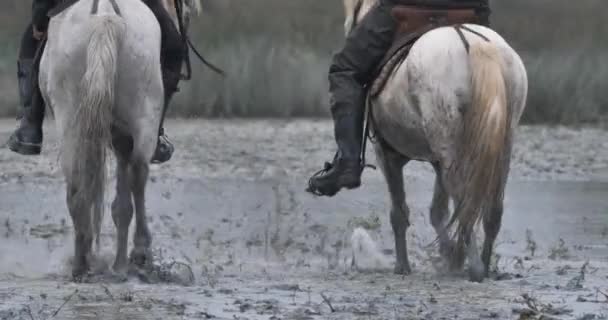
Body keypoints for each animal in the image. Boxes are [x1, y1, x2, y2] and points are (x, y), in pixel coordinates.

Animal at [39, 0, 201, 280]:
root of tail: (105, 19)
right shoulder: (125, 139)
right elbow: (124, 202)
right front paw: (123, 262)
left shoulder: (119, 139)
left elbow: (119, 206)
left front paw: (117, 263)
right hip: (143, 114)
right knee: (138, 174)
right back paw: (140, 252)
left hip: (71, 119)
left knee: (77, 184)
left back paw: (82, 263)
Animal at [344, 0, 528, 282]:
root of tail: (474, 43)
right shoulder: (438, 161)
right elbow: (437, 211)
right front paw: (450, 256)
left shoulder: (386, 154)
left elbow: (399, 212)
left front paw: (404, 266)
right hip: (499, 145)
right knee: (492, 207)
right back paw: (483, 265)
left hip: (447, 143)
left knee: (465, 202)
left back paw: (474, 267)